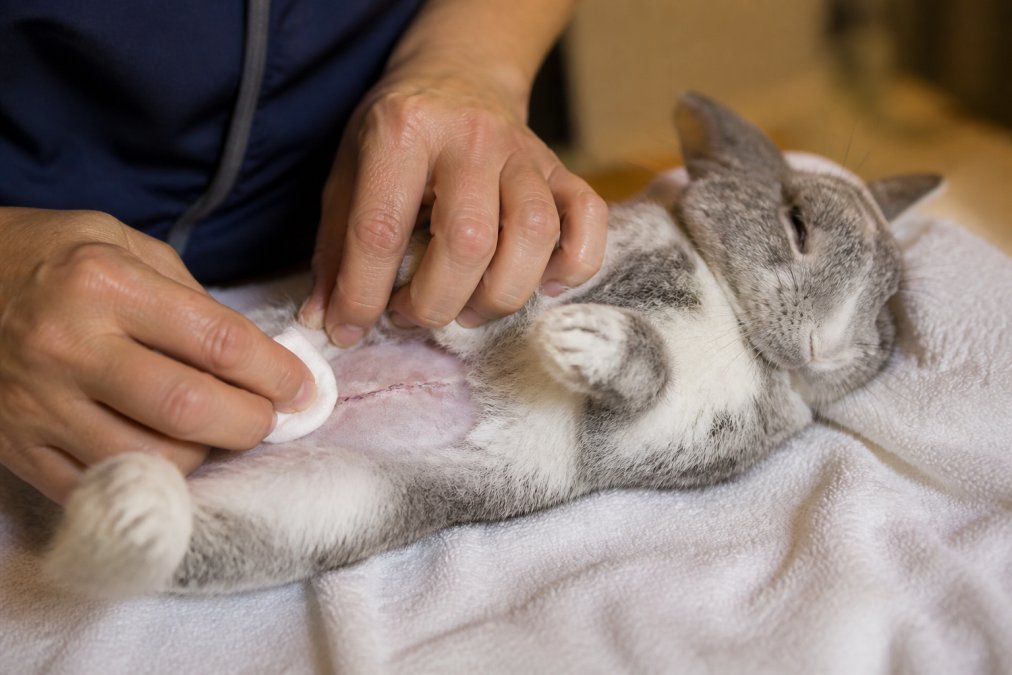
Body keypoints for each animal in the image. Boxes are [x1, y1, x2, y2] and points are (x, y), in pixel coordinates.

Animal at [43, 92, 941, 596]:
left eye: (886, 317)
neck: (728, 312)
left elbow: (634, 376)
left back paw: (131, 503)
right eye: (796, 224)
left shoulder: (664, 437)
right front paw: (518, 324)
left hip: (329, 510)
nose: (828, 345)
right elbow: (539, 315)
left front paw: (578, 339)